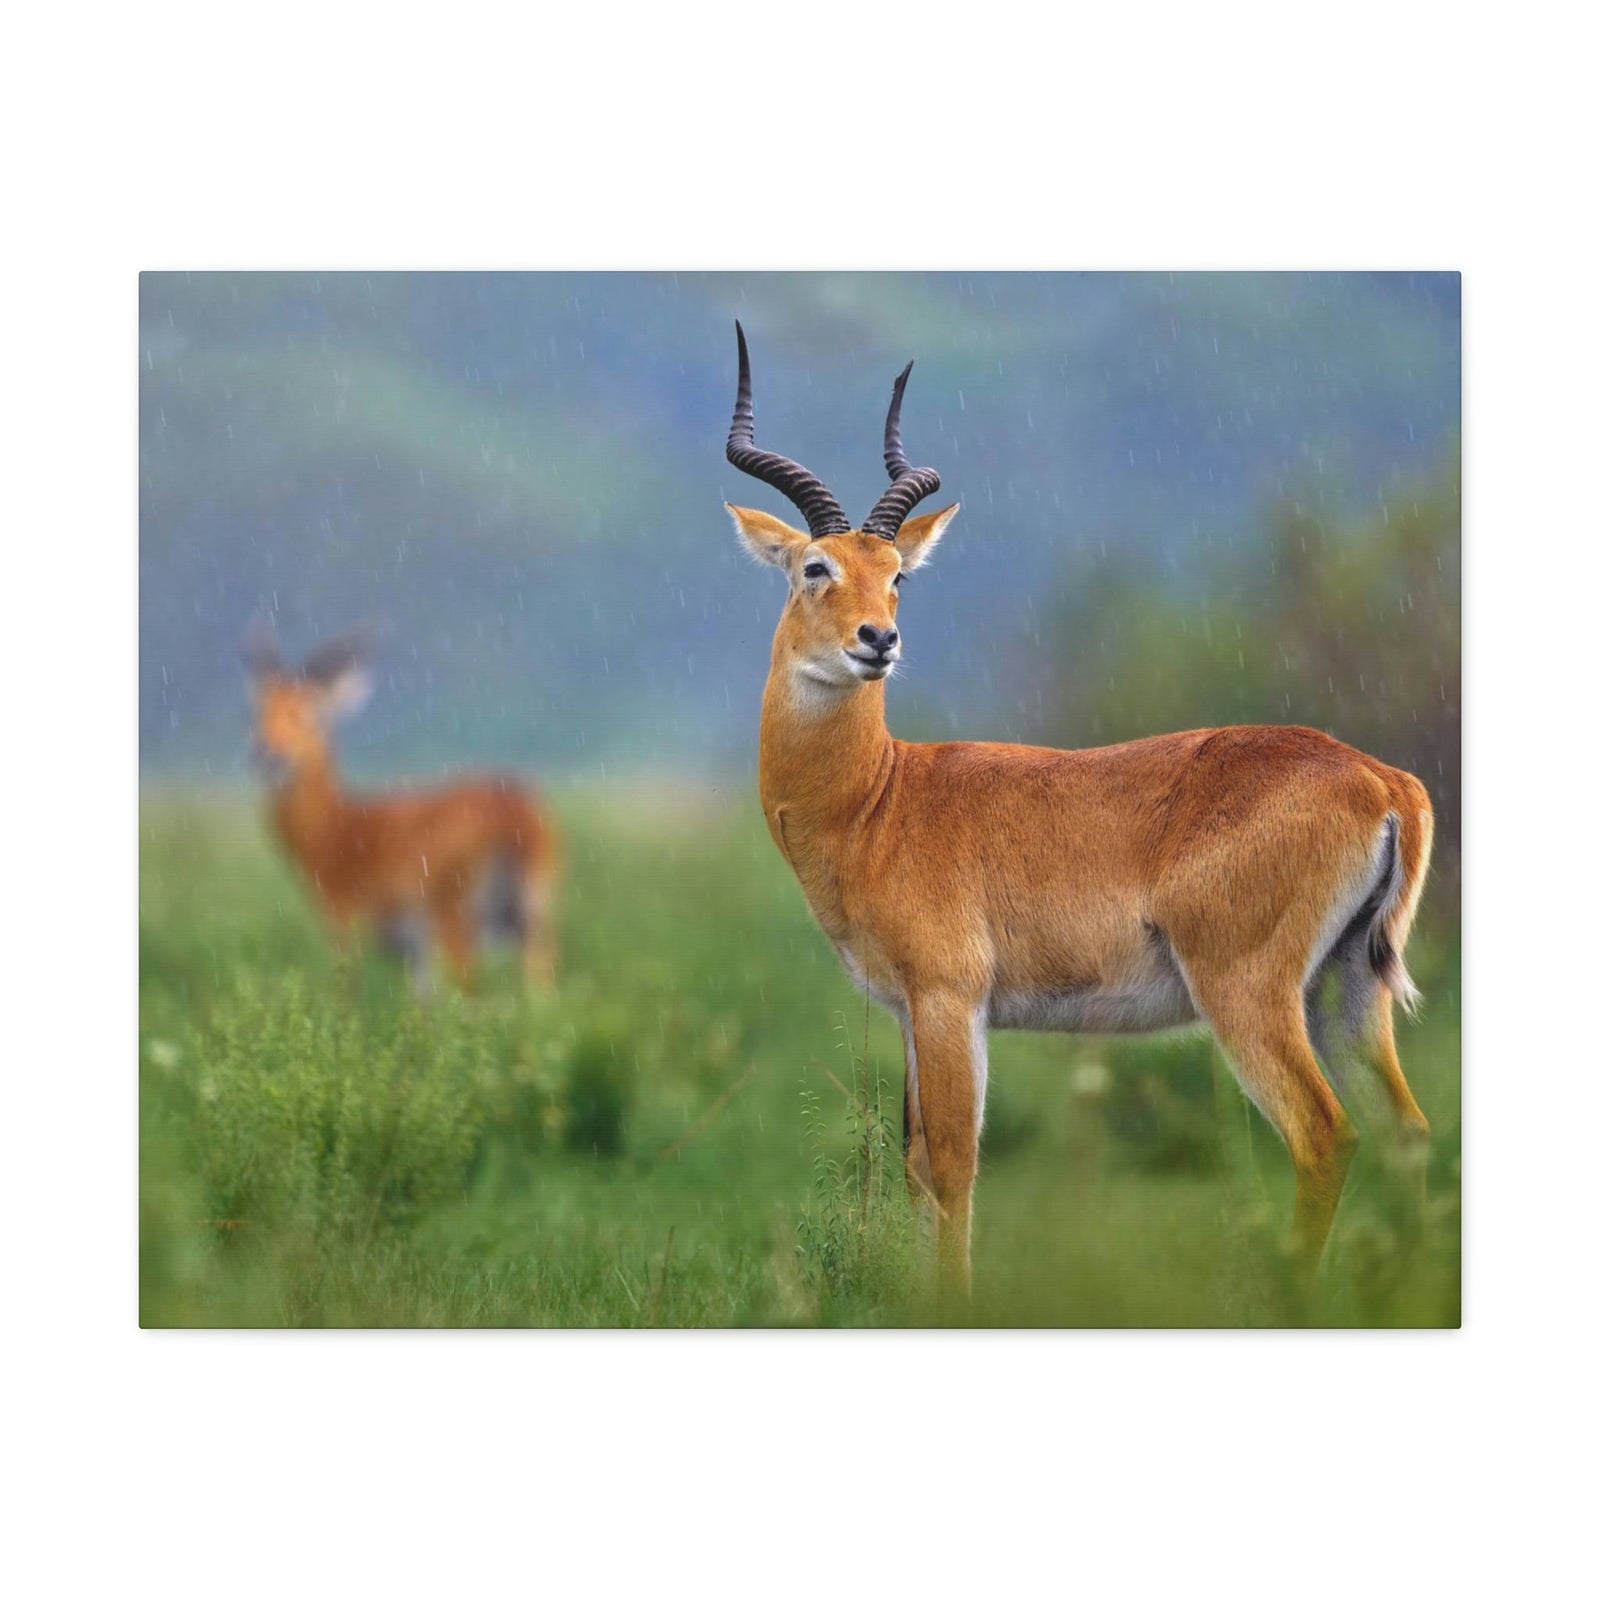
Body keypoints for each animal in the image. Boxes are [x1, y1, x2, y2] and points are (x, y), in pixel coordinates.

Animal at [245, 626, 558, 991]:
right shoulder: (416, 954)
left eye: (309, 713)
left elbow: (345, 990)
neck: (335, 828)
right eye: (256, 713)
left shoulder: (344, 923)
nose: (267, 753)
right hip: (531, 918)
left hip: (457, 920)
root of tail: (514, 810)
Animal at [723, 322, 1432, 1292]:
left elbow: (953, 1163)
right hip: (1348, 987)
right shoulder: (908, 1010)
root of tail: (1380, 779)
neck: (879, 800)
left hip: (1248, 990)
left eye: (899, 574)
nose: (879, 640)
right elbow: (916, 1163)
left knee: (1326, 1135)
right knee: (1408, 1135)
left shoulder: (949, 997)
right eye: (814, 567)